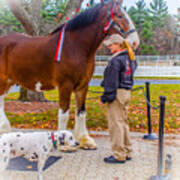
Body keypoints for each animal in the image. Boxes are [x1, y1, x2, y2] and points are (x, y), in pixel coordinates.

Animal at [0, 0, 139, 149]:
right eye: (119, 16)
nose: (135, 41)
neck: (75, 47)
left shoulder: (83, 85)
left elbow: (81, 112)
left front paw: (84, 140)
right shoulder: (65, 85)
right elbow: (64, 113)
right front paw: (63, 143)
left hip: (8, 82)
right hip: (3, 80)